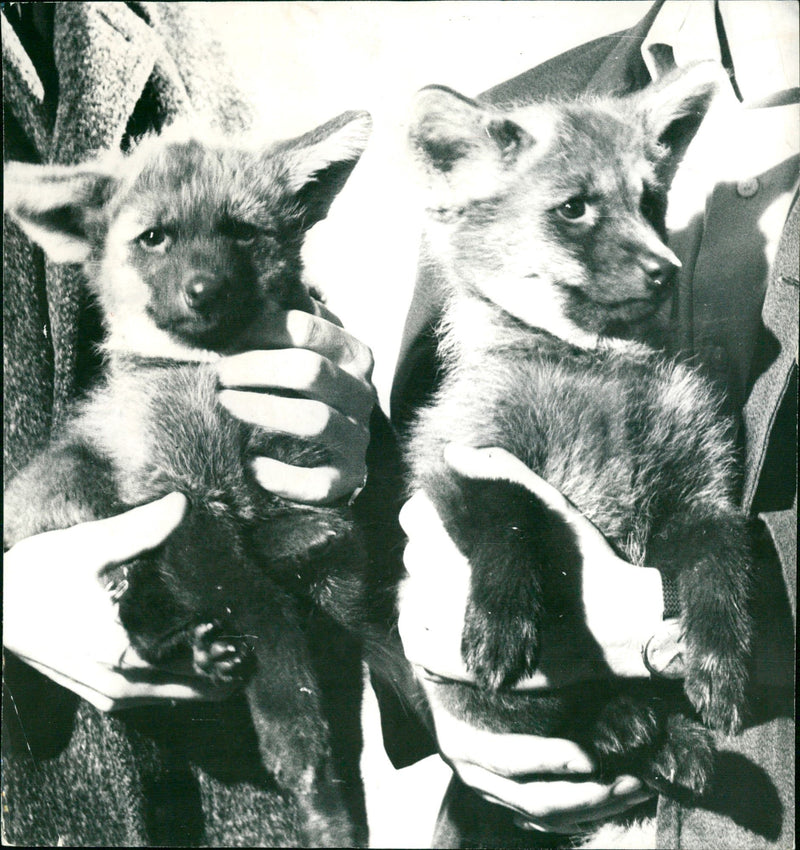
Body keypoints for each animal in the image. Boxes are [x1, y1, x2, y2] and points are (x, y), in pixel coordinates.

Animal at [4, 112, 377, 847]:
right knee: (138, 618)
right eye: (155, 238)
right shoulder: (182, 497)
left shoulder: (308, 502)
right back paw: (185, 640)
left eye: (242, 232)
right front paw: (307, 769)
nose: (205, 290)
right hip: (76, 479)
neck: (212, 379)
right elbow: (272, 632)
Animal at [402, 62, 753, 848]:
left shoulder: (701, 491)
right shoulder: (453, 454)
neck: (597, 370)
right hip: (475, 706)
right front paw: (502, 619)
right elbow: (510, 514)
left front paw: (719, 661)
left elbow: (721, 565)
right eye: (574, 209)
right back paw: (627, 723)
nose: (665, 270)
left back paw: (674, 743)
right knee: (568, 720)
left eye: (650, 201)